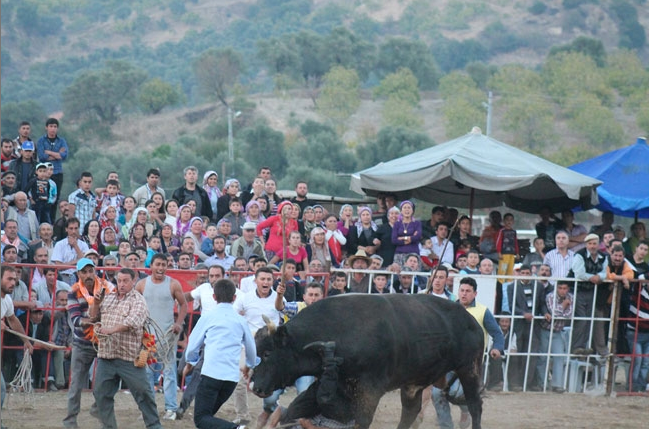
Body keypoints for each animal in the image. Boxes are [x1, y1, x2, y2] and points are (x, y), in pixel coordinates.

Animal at [251, 292, 484, 426]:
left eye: (267, 353)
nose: (255, 387)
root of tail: (470, 319)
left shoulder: (370, 390)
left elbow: (362, 420)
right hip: (413, 383)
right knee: (410, 412)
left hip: (469, 367)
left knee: (475, 405)